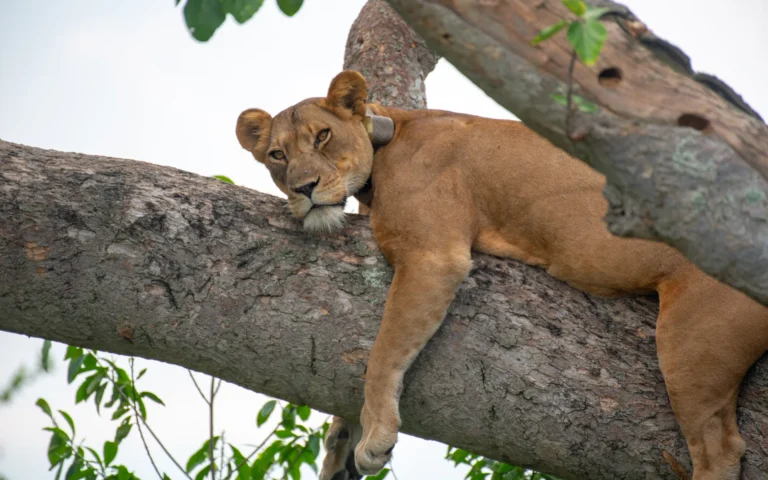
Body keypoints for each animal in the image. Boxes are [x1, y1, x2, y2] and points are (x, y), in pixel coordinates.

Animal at [236, 71, 768, 480]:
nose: (304, 188)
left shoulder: (434, 256)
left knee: (720, 449)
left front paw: (377, 434)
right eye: (277, 156)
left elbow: (383, 352)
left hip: (690, 344)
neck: (387, 135)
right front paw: (338, 452)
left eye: (322, 136)